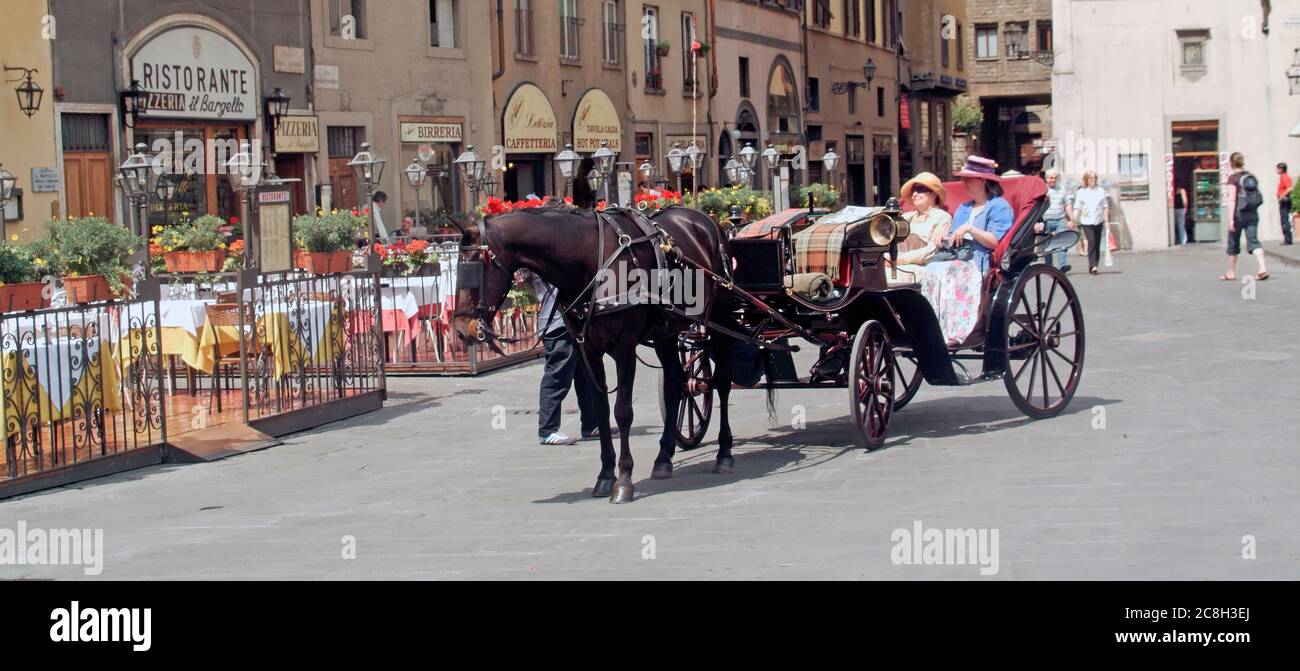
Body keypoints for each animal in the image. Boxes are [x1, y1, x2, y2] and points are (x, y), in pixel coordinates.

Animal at [449, 204, 739, 503]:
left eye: (474, 268)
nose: (459, 329)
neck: (592, 264)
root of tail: (707, 221)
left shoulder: (624, 348)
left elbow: (623, 411)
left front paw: (624, 480)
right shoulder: (587, 349)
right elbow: (601, 410)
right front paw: (605, 476)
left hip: (720, 318)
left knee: (722, 381)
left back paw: (724, 454)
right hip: (667, 332)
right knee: (675, 384)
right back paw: (664, 458)